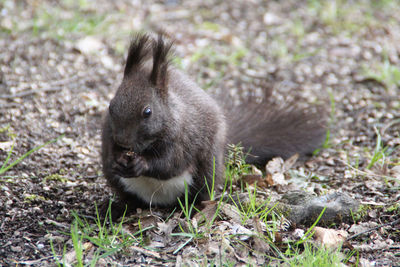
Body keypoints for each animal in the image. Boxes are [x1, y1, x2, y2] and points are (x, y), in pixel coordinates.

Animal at [101, 33, 326, 220]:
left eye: (147, 112)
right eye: (111, 105)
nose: (123, 141)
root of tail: (158, 201)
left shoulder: (183, 136)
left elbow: (171, 163)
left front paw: (142, 164)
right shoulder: (108, 134)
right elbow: (110, 150)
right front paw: (115, 159)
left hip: (207, 170)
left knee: (196, 194)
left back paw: (192, 209)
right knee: (130, 199)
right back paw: (118, 209)